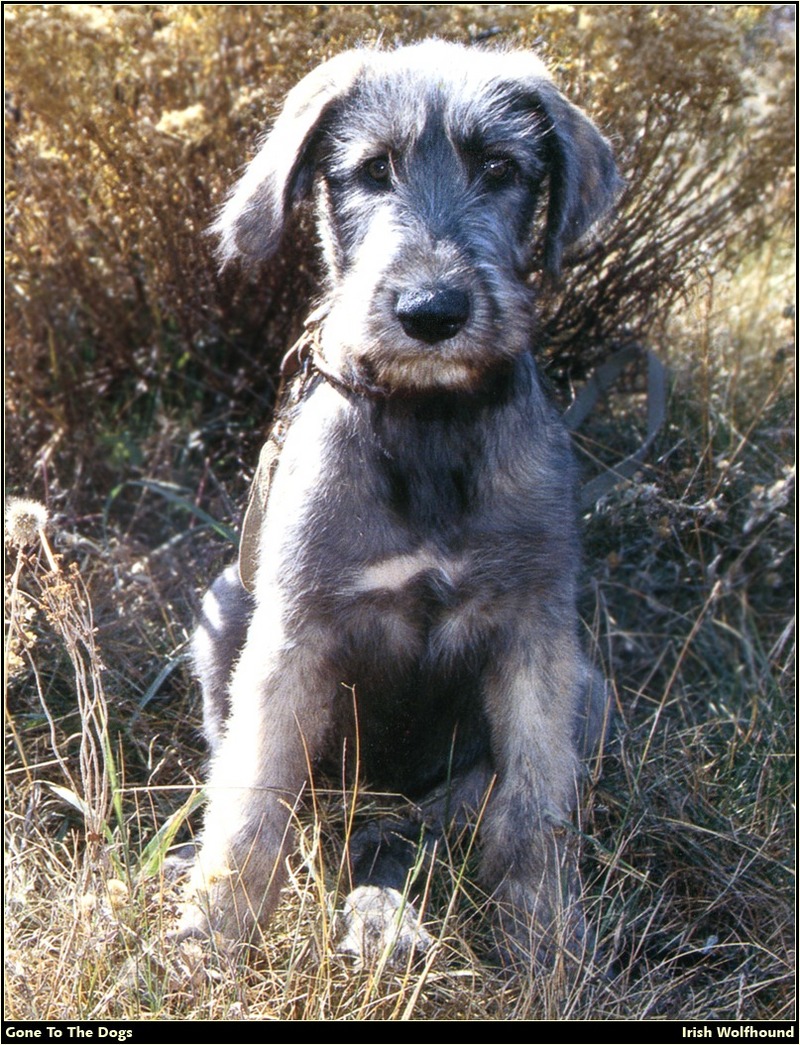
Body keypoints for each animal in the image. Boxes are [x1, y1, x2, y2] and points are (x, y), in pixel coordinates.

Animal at [181, 40, 618, 969]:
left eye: (501, 169)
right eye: (371, 169)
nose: (432, 311)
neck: (428, 421)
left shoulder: (536, 632)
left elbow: (533, 807)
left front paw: (548, 945)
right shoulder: (295, 634)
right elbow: (254, 798)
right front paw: (213, 937)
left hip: (590, 694)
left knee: (428, 823)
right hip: (224, 609)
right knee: (321, 823)